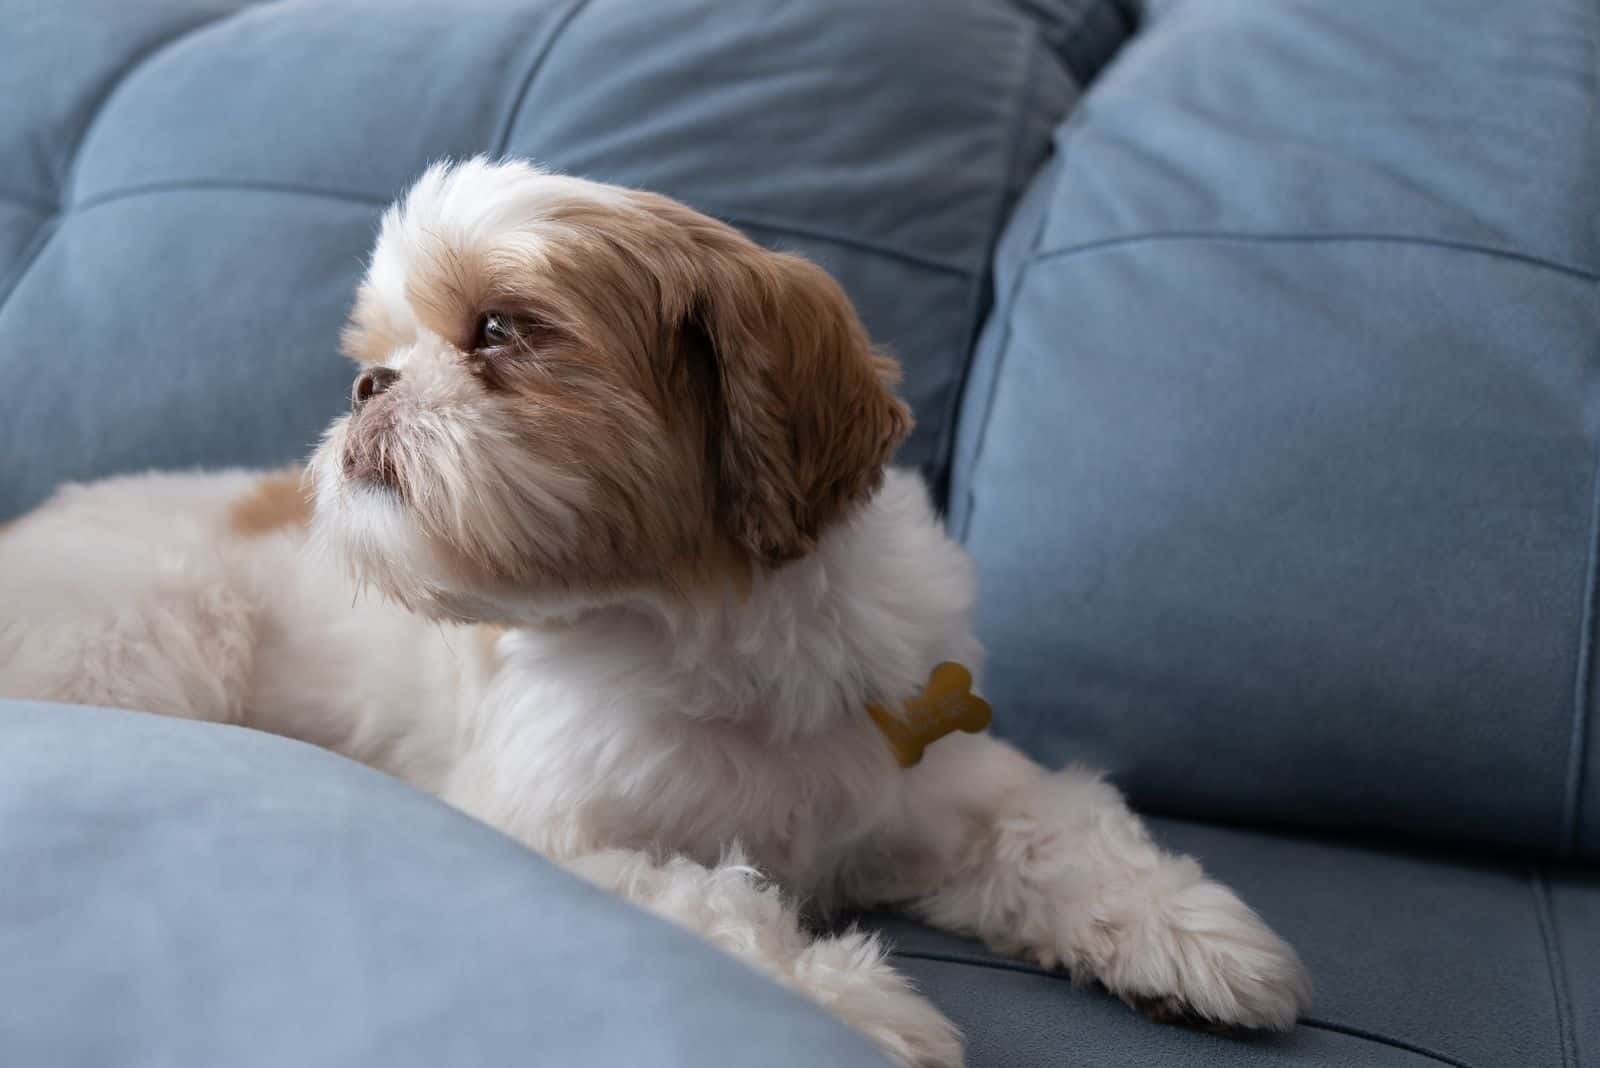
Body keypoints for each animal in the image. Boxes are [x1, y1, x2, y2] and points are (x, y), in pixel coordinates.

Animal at [3, 158, 1312, 1068]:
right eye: (374, 354)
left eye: (497, 330)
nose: (372, 383)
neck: (705, 634)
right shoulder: (543, 830)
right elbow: (704, 900)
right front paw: (851, 1003)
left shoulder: (939, 772)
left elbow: (1058, 823)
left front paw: (1189, 935)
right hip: (152, 642)